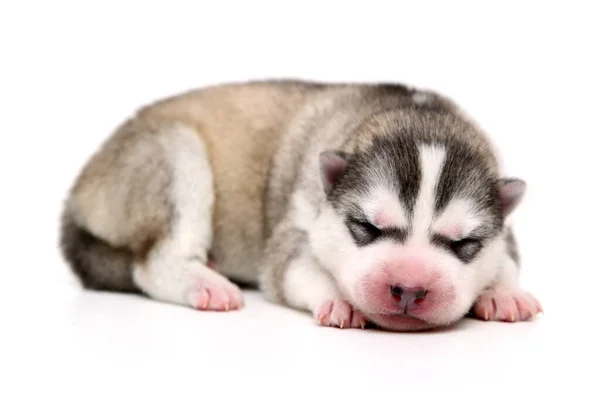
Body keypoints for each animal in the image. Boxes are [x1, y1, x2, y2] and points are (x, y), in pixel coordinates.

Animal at [58, 79, 540, 332]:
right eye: (367, 227)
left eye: (463, 243)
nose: (408, 288)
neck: (416, 115)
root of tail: (78, 190)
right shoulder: (297, 225)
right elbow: (294, 266)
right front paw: (338, 298)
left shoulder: (506, 230)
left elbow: (507, 259)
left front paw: (503, 292)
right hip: (172, 154)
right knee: (153, 262)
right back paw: (206, 283)